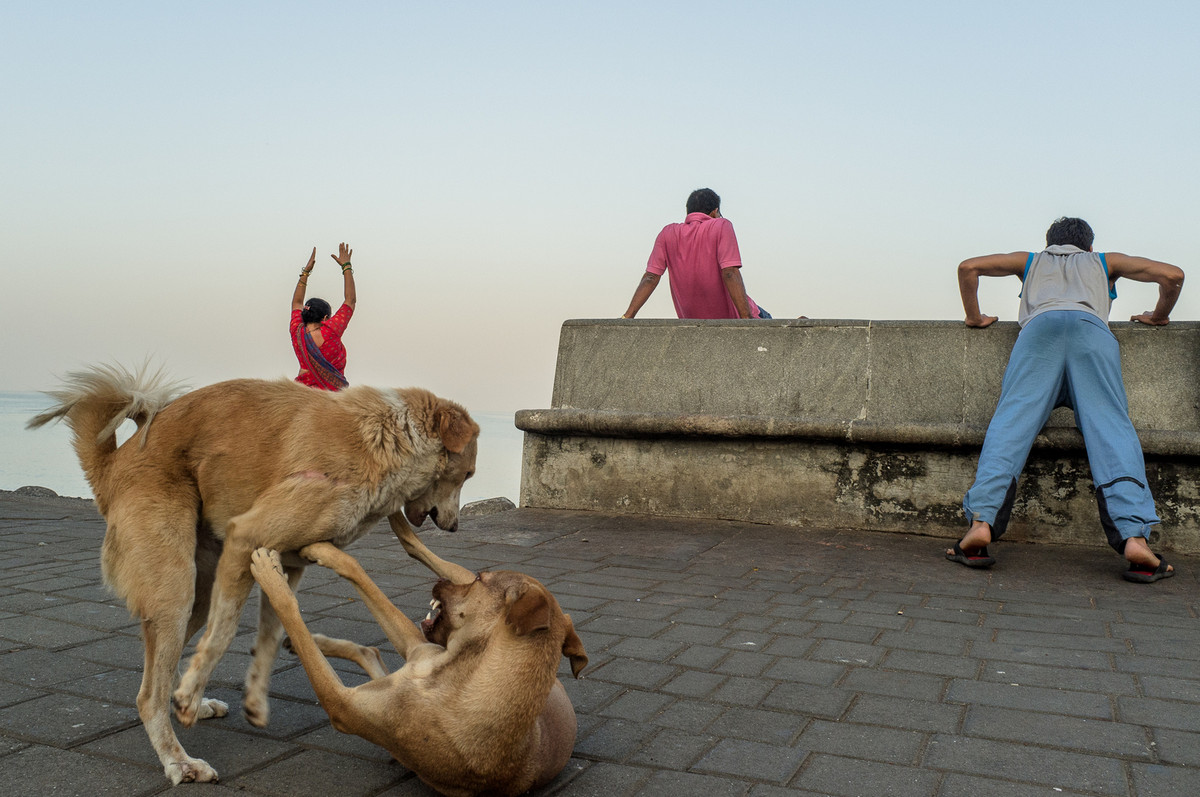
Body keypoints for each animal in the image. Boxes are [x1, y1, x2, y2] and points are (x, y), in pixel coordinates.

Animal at [28, 364, 477, 782]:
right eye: (469, 473)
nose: (455, 527)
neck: (384, 440)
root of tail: (111, 466)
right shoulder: (246, 537)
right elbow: (226, 632)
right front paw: (191, 698)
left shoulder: (286, 563)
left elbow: (270, 634)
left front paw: (254, 700)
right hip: (177, 588)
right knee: (149, 695)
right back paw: (179, 757)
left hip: (198, 590)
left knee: (161, 670)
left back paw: (189, 700)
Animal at [250, 542, 588, 797]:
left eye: (480, 579)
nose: (441, 584)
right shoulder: (418, 649)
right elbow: (356, 569)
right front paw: (322, 549)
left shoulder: (341, 703)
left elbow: (292, 612)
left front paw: (271, 575)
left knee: (370, 653)